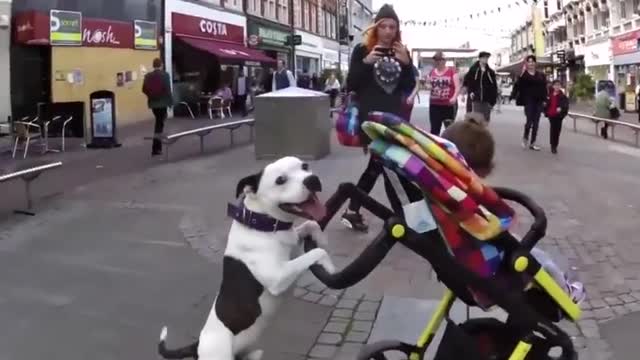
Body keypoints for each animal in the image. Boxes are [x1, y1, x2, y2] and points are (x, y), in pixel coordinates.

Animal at [158, 157, 336, 360]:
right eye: (280, 180)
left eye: (305, 166)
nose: (312, 180)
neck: (262, 223)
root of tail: (197, 345)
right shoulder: (278, 277)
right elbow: (316, 253)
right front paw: (330, 266)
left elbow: (310, 224)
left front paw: (321, 237)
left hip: (251, 353)